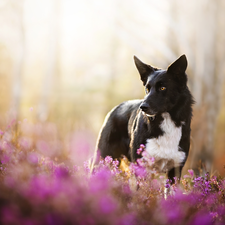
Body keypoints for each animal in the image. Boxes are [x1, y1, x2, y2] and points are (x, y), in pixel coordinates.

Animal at [91, 55, 193, 183]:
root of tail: (116, 107)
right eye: (147, 89)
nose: (143, 107)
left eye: (163, 88)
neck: (166, 121)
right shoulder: (140, 165)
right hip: (103, 157)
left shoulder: (175, 169)